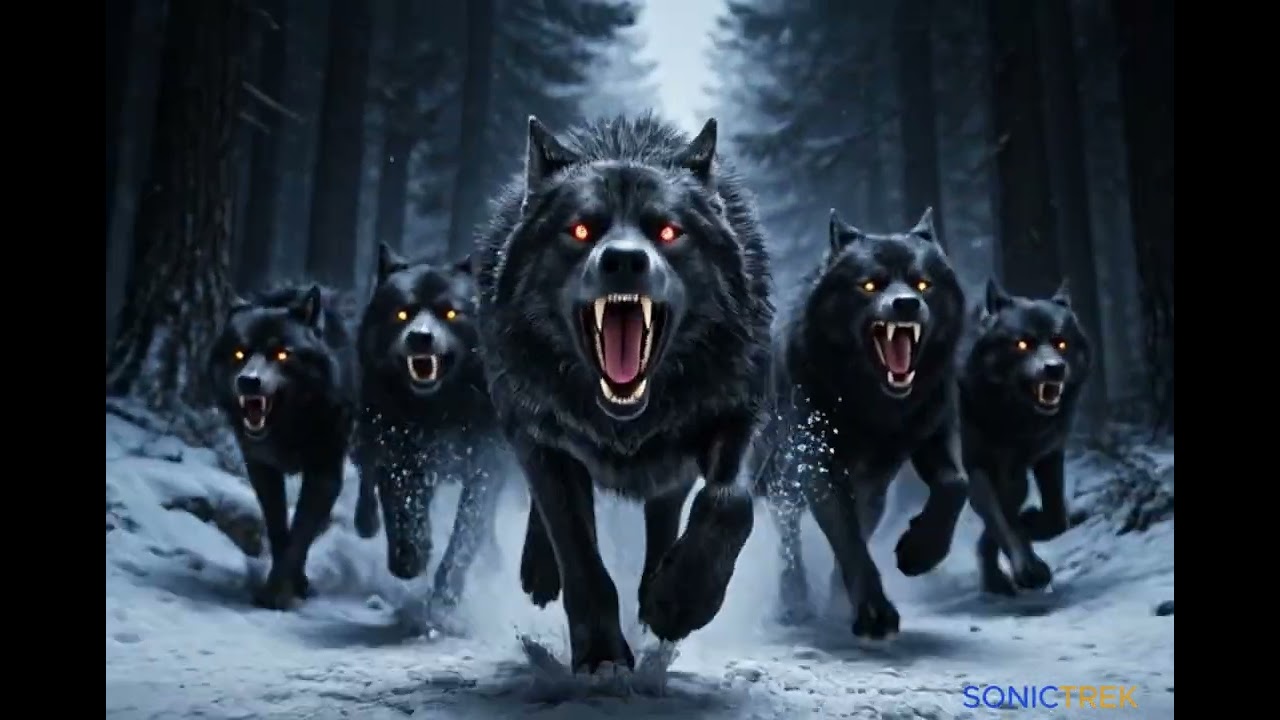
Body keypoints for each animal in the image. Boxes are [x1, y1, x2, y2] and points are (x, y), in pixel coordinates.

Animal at [207, 285, 372, 609]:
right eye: (239, 353)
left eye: (282, 354)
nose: (248, 381)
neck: (291, 426)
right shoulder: (262, 470)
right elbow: (280, 530)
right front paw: (290, 582)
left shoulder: (324, 473)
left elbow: (300, 535)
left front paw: (277, 592)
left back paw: (367, 523)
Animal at [352, 245, 505, 626]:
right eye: (403, 312)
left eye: (450, 312)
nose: (421, 336)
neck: (443, 409)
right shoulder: (403, 457)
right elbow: (404, 514)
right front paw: (409, 558)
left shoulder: (486, 468)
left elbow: (466, 535)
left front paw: (445, 598)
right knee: (366, 477)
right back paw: (366, 522)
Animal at [473, 114, 773, 671]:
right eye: (581, 230)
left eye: (669, 232)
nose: (625, 260)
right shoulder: (541, 437)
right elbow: (579, 555)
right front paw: (601, 655)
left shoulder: (737, 417)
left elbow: (729, 501)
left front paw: (679, 602)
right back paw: (541, 570)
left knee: (666, 513)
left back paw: (659, 590)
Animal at [749, 209, 969, 639]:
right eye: (870, 285)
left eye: (923, 283)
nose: (906, 304)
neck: (871, 407)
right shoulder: (819, 466)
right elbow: (849, 543)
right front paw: (874, 614)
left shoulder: (932, 436)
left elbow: (955, 485)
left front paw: (919, 553)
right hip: (780, 480)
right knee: (789, 539)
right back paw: (794, 603)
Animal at [961, 279, 1093, 596]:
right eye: (1023, 344)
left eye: (1060, 343)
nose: (1054, 368)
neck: (1015, 421)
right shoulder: (978, 467)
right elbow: (1003, 523)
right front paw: (1030, 570)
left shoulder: (1049, 456)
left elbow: (1057, 519)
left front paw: (1032, 523)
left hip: (1017, 479)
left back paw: (994, 580)